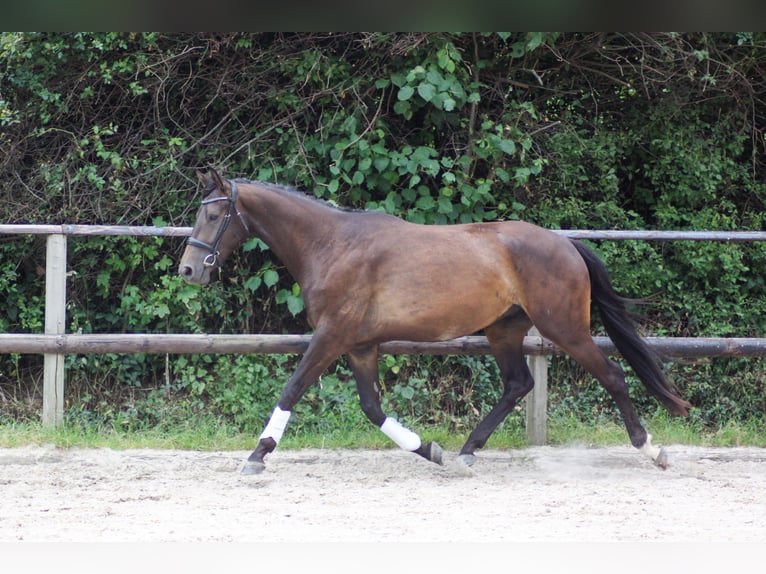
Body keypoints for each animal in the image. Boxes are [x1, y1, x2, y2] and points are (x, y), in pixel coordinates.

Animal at [177, 169, 692, 474]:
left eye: (216, 214)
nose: (188, 270)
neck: (333, 245)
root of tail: (565, 244)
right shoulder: (360, 345)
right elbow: (372, 408)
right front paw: (430, 449)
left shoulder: (332, 335)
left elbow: (293, 388)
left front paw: (257, 454)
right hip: (504, 329)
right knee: (518, 384)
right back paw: (465, 452)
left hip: (564, 329)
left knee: (613, 375)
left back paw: (651, 448)